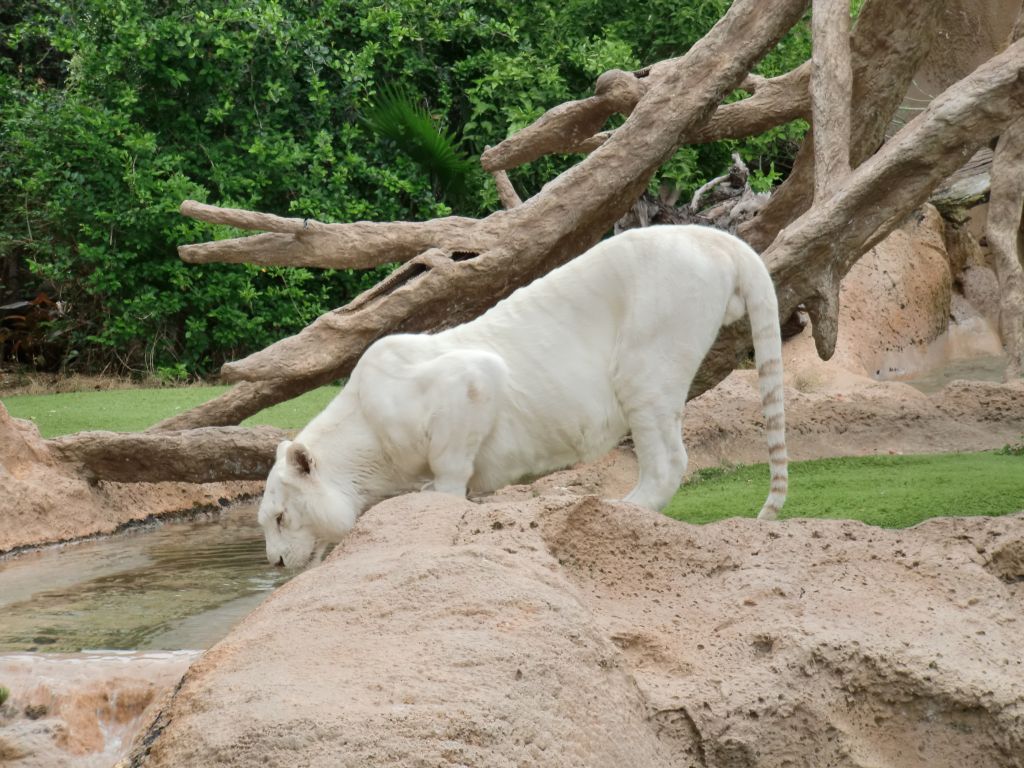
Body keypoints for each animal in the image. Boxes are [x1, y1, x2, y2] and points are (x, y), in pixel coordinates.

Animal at [260, 225, 786, 569]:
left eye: (281, 518)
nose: (277, 564)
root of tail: (718, 238)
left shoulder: (470, 381)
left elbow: (450, 472)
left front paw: (438, 505)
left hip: (649, 358)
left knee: (667, 462)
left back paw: (618, 509)